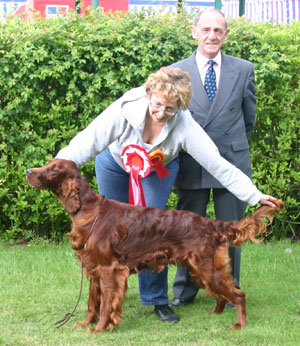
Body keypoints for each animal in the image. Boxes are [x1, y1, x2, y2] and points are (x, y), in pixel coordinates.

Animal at [26, 159, 284, 332]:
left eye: (53, 169)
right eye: (49, 164)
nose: (28, 171)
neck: (89, 210)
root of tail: (212, 223)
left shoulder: (109, 270)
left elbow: (105, 305)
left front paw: (99, 329)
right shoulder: (93, 270)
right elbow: (92, 303)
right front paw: (84, 323)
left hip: (208, 268)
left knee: (238, 295)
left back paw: (239, 324)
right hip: (201, 269)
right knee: (221, 294)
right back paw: (216, 312)